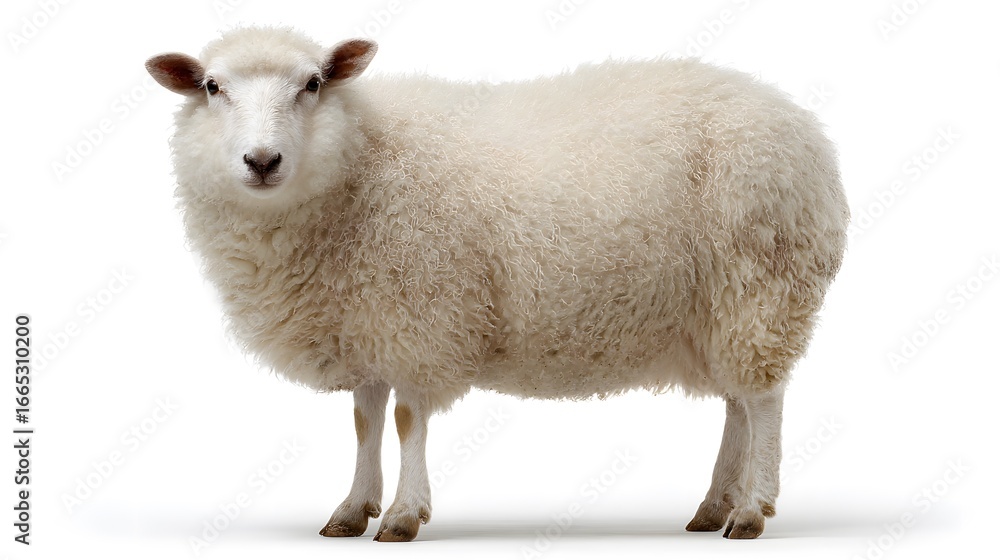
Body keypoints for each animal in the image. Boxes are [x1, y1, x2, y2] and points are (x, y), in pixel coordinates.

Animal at [145, 25, 849, 542]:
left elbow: (405, 419)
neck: (360, 164)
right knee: (737, 404)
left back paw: (751, 510)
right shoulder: (365, 320)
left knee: (763, 402)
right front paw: (352, 509)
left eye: (313, 83)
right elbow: (365, 421)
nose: (262, 161)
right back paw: (713, 506)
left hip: (761, 286)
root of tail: (803, 127)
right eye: (212, 86)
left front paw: (403, 516)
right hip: (719, 308)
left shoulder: (419, 313)